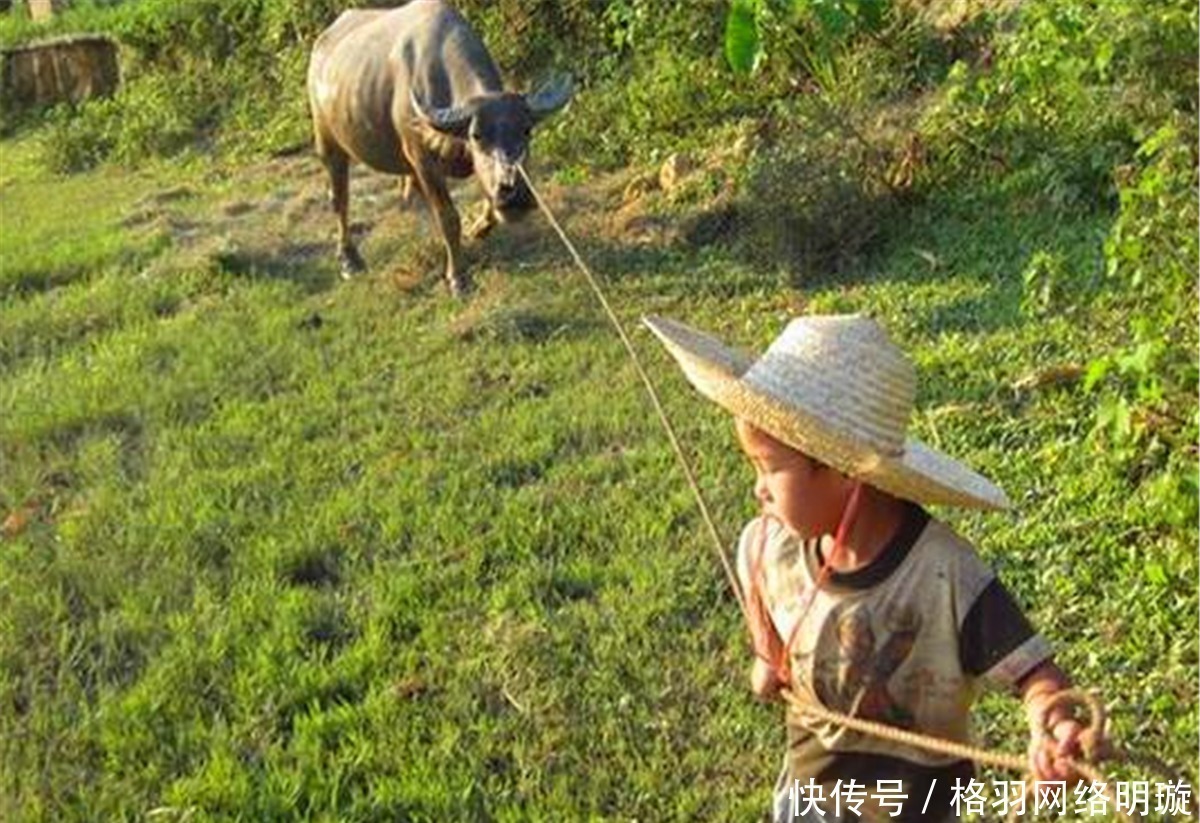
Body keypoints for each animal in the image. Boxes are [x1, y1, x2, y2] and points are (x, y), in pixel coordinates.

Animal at [307, 0, 573, 296]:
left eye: (527, 130)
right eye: (476, 135)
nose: (516, 197)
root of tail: (321, 48)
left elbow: (486, 200)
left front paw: (478, 228)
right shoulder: (424, 162)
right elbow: (448, 218)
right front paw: (457, 278)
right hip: (328, 141)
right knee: (339, 198)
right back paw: (349, 260)